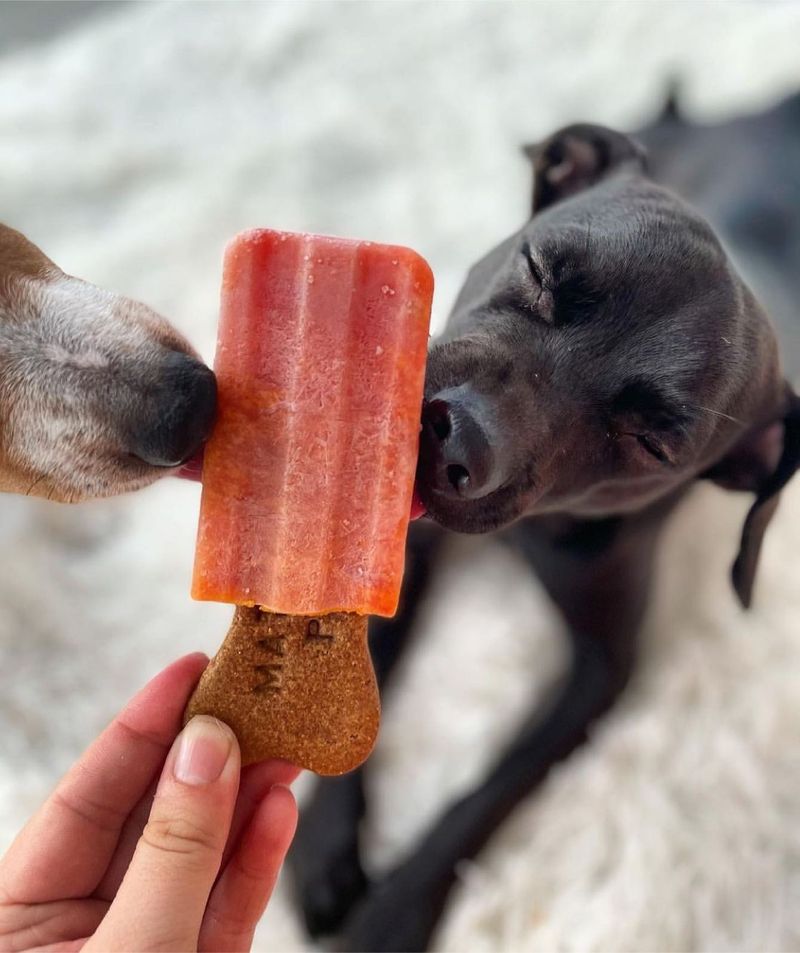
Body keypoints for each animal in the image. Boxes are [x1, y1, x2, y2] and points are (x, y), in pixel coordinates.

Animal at [290, 91, 800, 952]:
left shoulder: (600, 669)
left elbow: (492, 789)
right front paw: (325, 841)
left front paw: (393, 910)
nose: (450, 433)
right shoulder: (403, 541)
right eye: (537, 267)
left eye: (652, 442)